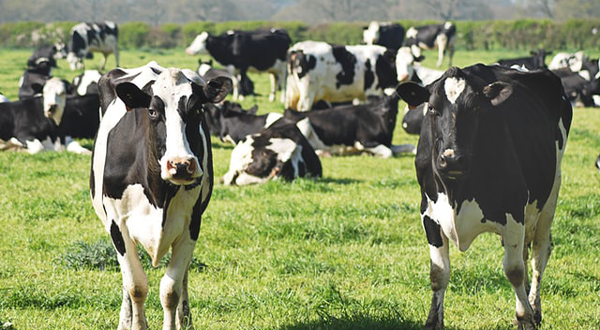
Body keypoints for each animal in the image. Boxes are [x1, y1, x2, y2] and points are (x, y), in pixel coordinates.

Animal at [91, 62, 232, 330]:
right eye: (153, 112)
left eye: (198, 109)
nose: (181, 164)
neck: (159, 194)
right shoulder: (117, 225)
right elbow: (135, 286)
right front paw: (135, 324)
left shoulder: (191, 224)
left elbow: (170, 290)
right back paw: (125, 320)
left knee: (184, 274)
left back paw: (185, 319)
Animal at [282, 84, 412, 158]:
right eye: (379, 100)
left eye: (394, 99)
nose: (386, 110)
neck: (385, 127)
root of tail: (291, 111)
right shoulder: (363, 141)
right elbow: (389, 153)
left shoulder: (388, 143)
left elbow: (410, 146)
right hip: (305, 123)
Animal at [396, 63, 576, 328]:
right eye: (432, 108)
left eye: (475, 108)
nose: (452, 159)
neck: (456, 191)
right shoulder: (428, 213)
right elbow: (438, 272)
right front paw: (433, 321)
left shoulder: (514, 209)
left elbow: (514, 270)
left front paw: (525, 318)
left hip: (551, 193)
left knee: (539, 254)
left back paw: (534, 308)